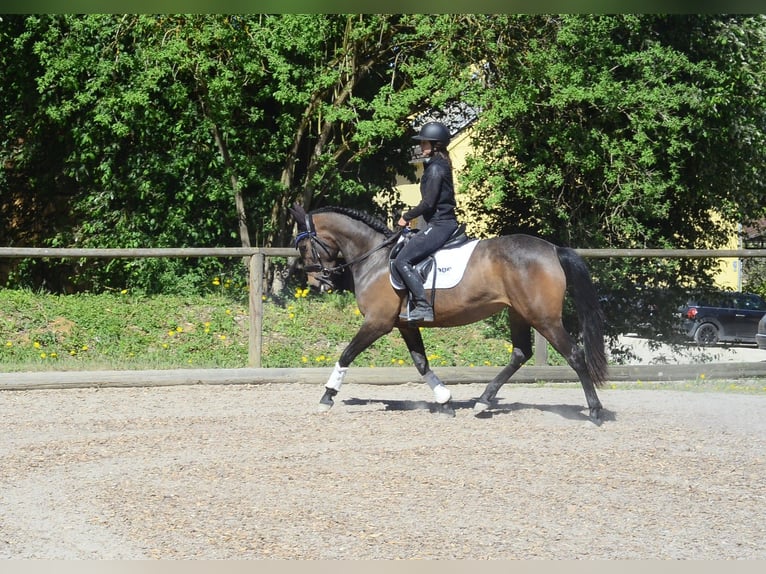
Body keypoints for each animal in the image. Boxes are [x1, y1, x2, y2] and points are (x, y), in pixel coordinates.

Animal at [289, 204, 609, 423]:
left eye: (303, 246)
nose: (316, 283)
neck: (375, 258)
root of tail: (553, 249)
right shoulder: (405, 325)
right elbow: (421, 363)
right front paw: (445, 401)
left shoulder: (377, 322)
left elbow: (346, 354)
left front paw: (327, 396)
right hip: (518, 313)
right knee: (520, 353)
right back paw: (484, 400)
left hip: (543, 318)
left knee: (574, 355)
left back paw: (594, 411)